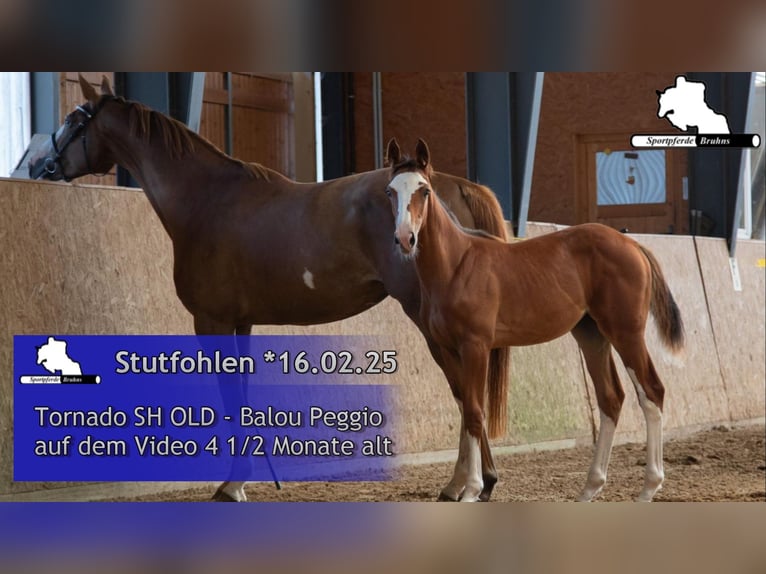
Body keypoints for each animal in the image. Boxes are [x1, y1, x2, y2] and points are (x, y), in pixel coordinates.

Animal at [28, 74, 511, 502]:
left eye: (73, 120)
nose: (38, 166)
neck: (208, 199)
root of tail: (456, 187)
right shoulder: (241, 323)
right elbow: (241, 395)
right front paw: (242, 480)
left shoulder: (212, 322)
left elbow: (229, 397)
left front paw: (231, 486)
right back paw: (476, 482)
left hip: (431, 322)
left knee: (465, 391)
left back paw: (465, 485)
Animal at [385, 138, 685, 502]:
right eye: (390, 191)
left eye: (424, 190)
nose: (404, 238)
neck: (456, 265)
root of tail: (632, 244)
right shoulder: (447, 349)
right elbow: (466, 407)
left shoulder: (476, 346)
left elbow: (475, 412)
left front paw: (472, 490)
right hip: (592, 335)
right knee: (610, 398)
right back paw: (590, 488)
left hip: (625, 333)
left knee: (651, 392)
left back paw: (648, 488)